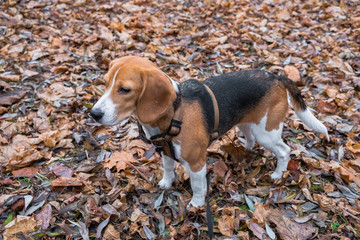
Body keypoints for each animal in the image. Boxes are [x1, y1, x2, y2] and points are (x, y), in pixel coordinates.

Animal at [90, 56, 330, 208]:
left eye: (125, 90)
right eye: (105, 83)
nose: (94, 114)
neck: (174, 112)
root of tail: (276, 77)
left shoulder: (197, 163)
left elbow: (197, 186)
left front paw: (196, 204)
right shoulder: (165, 151)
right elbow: (168, 168)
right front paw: (166, 183)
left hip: (267, 132)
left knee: (284, 150)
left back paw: (278, 174)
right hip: (247, 124)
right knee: (251, 139)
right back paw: (243, 152)